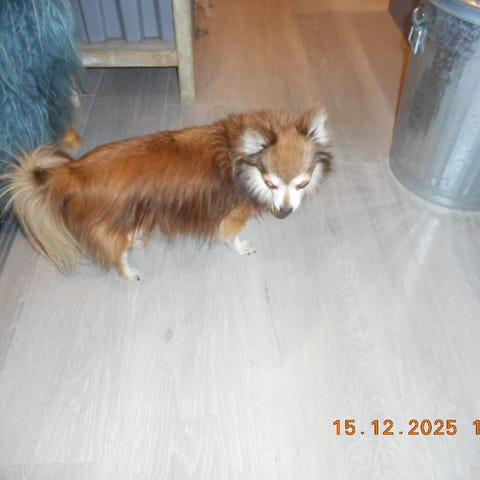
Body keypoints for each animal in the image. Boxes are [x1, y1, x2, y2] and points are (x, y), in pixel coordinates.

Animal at [0, 106, 331, 280]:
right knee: (116, 256)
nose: (285, 211)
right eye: (271, 184)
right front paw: (241, 247)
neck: (239, 156)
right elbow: (231, 236)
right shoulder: (232, 217)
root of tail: (73, 171)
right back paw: (131, 271)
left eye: (301, 184)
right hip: (112, 226)